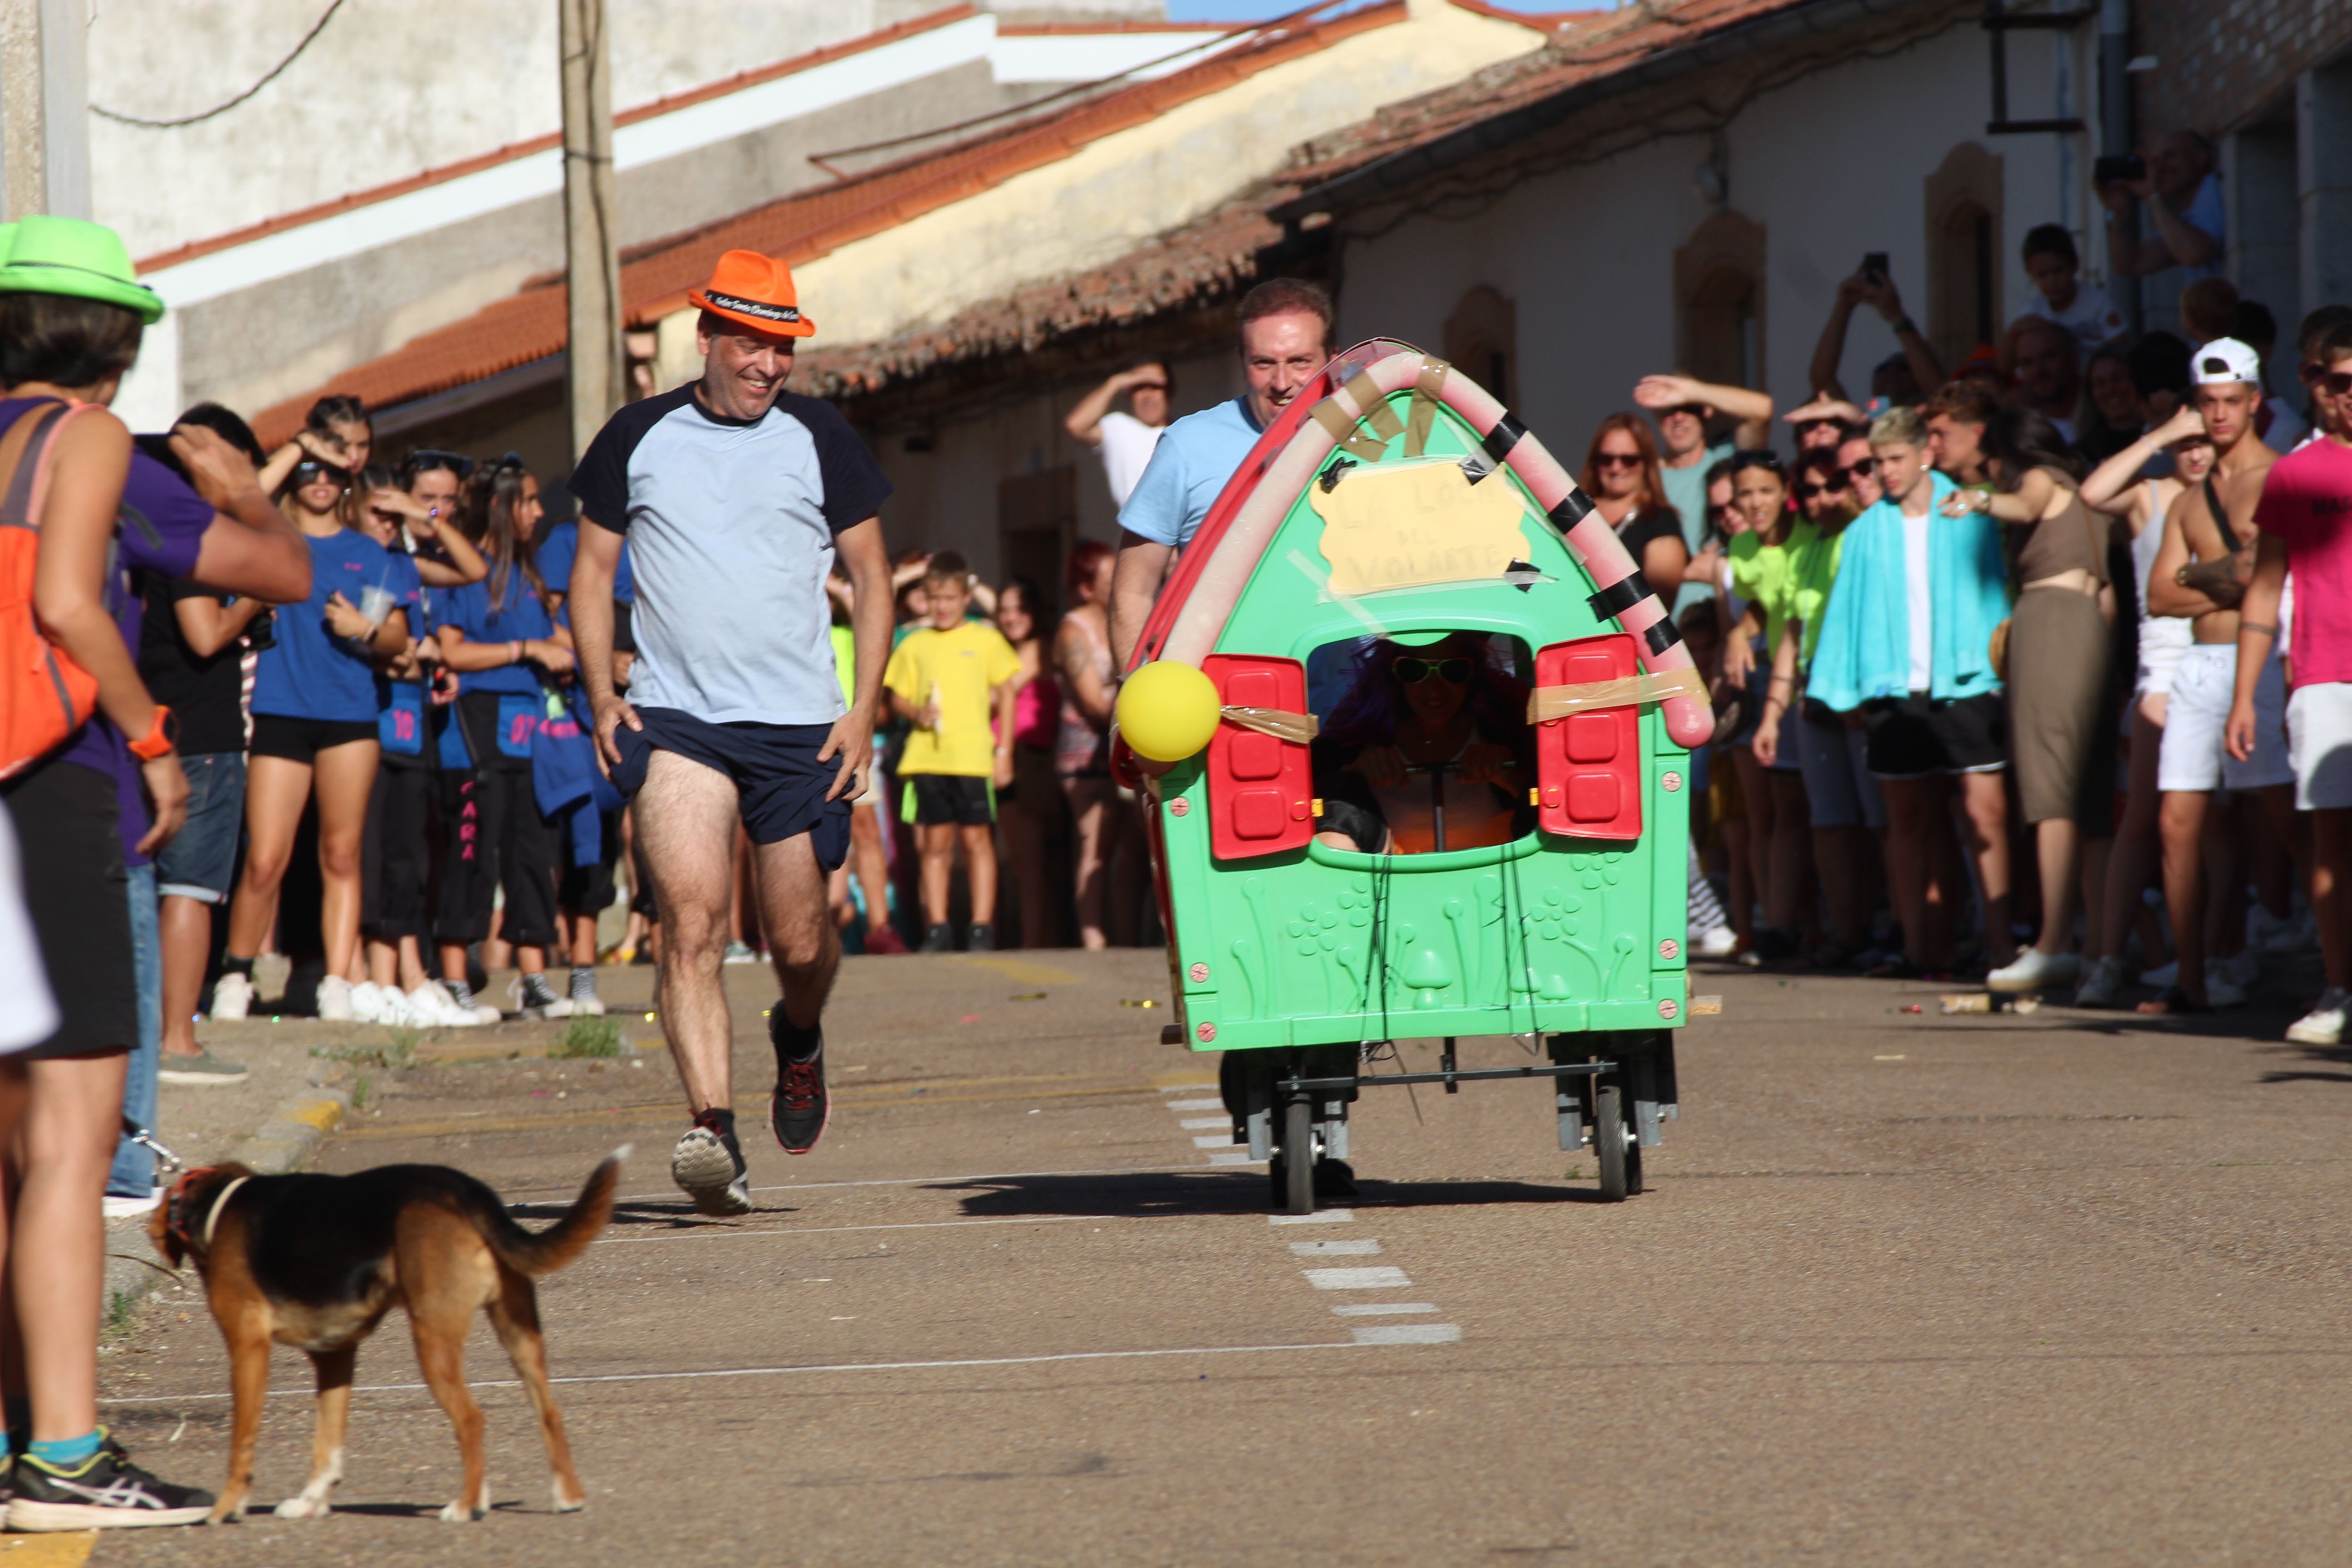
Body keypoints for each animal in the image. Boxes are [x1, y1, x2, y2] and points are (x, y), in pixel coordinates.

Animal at [155, 1152, 635, 1523]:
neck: (219, 1204)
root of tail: (464, 1190)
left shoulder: (247, 1349)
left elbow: (242, 1441)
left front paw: (225, 1508)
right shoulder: (335, 1356)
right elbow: (327, 1445)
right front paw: (311, 1503)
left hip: (433, 1339)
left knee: (472, 1420)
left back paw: (465, 1505)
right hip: (518, 1333)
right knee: (549, 1412)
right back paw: (565, 1496)